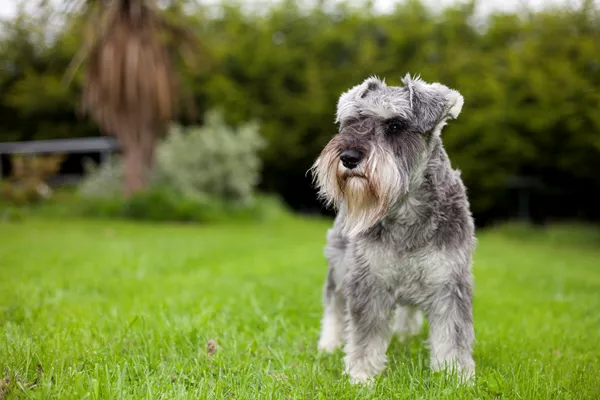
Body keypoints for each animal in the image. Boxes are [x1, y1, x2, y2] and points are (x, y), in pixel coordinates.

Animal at [312, 74, 476, 384]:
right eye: (351, 122)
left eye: (396, 126)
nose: (349, 157)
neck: (405, 209)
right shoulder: (368, 281)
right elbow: (365, 336)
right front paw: (361, 376)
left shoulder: (449, 283)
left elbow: (453, 334)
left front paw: (455, 377)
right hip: (339, 268)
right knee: (334, 306)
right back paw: (328, 344)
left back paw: (405, 335)